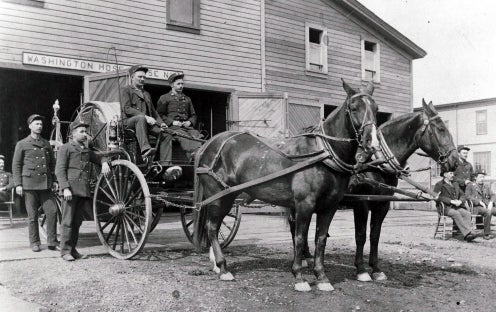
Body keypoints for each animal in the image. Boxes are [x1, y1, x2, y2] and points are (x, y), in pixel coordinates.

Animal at [194, 79, 380, 292]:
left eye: (376, 108)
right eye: (354, 107)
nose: (372, 142)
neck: (323, 154)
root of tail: (209, 144)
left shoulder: (329, 207)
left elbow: (320, 239)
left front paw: (322, 277)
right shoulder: (304, 204)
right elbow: (299, 238)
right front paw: (299, 277)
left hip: (226, 196)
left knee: (213, 227)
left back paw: (217, 265)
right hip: (220, 197)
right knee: (212, 228)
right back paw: (223, 268)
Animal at [344, 98, 458, 282]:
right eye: (441, 129)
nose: (455, 160)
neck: (374, 162)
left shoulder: (382, 204)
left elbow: (375, 235)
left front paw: (376, 269)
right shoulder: (361, 203)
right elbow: (360, 235)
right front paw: (361, 269)